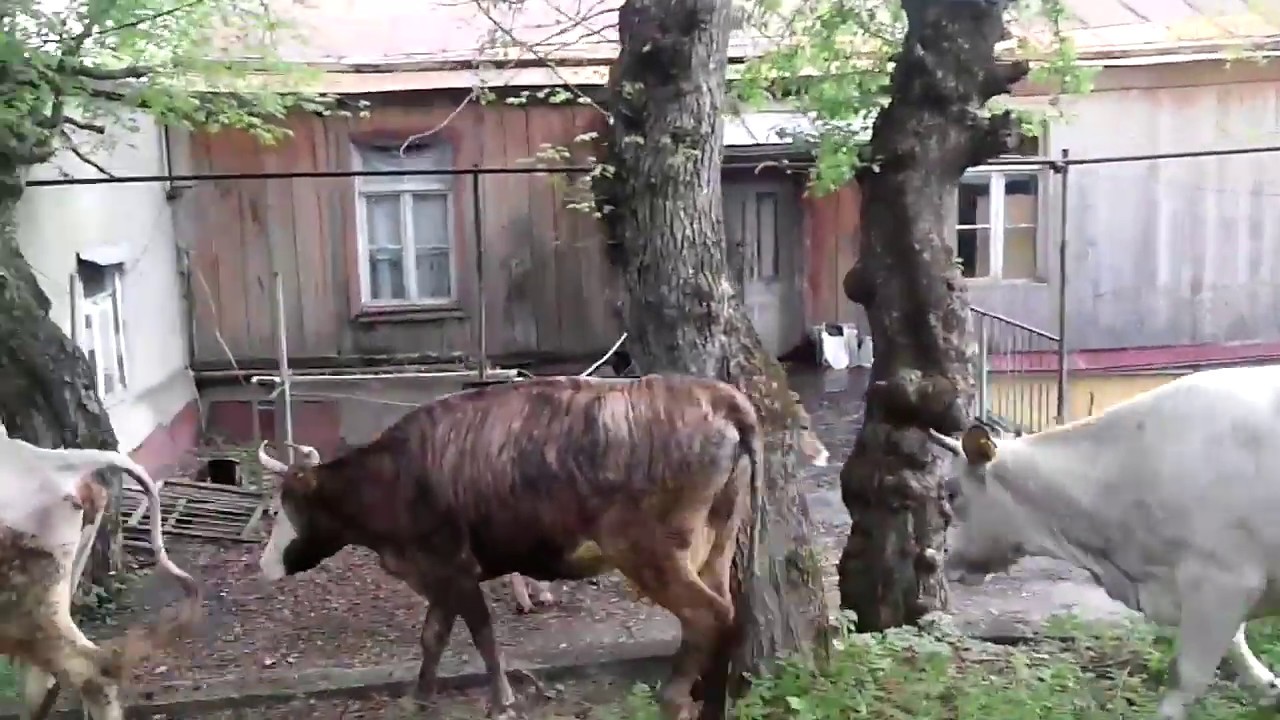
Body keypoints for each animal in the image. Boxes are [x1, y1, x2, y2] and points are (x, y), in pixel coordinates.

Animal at [255, 374, 762, 720]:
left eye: (283, 506)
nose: (264, 565)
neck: (393, 477)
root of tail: (718, 397)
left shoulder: (454, 564)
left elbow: (482, 635)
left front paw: (501, 701)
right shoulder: (439, 573)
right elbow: (433, 636)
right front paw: (420, 699)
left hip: (648, 549)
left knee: (707, 614)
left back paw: (674, 698)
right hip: (716, 542)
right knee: (729, 612)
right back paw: (713, 704)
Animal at [927, 364, 1280, 720]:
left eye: (952, 493)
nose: (941, 555)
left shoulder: (1222, 578)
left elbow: (1188, 674)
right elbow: (1236, 645)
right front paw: (1270, 687)